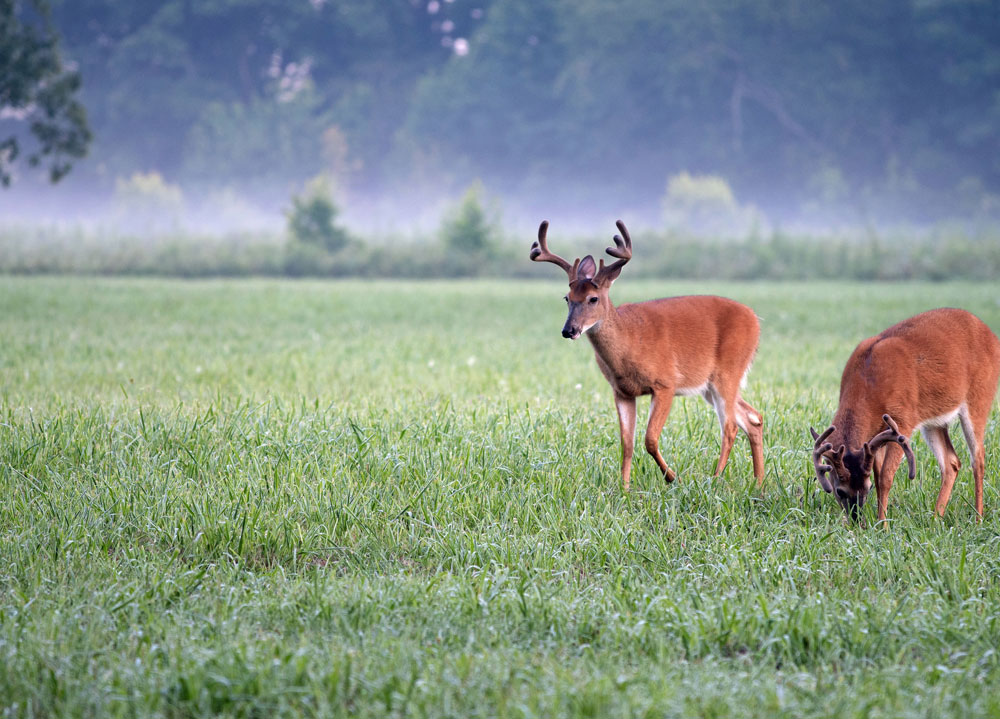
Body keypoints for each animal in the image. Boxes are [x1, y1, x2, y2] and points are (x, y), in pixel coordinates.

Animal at [532, 219, 764, 490]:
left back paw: (716, 479)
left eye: (593, 298)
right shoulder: (621, 391)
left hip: (728, 371)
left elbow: (650, 439)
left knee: (730, 426)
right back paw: (759, 482)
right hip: (709, 387)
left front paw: (673, 477)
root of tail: (755, 320)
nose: (569, 330)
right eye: (567, 298)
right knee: (753, 418)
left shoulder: (666, 382)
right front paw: (624, 488)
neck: (628, 342)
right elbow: (627, 443)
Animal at [812, 310, 1000, 524]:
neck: (868, 385)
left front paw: (883, 525)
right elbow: (878, 475)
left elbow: (885, 477)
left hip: (979, 397)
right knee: (951, 462)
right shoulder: (876, 435)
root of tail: (992, 336)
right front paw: (879, 521)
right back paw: (935, 519)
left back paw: (978, 519)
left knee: (978, 458)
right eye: (839, 491)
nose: (856, 519)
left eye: (866, 488)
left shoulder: (903, 421)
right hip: (934, 420)